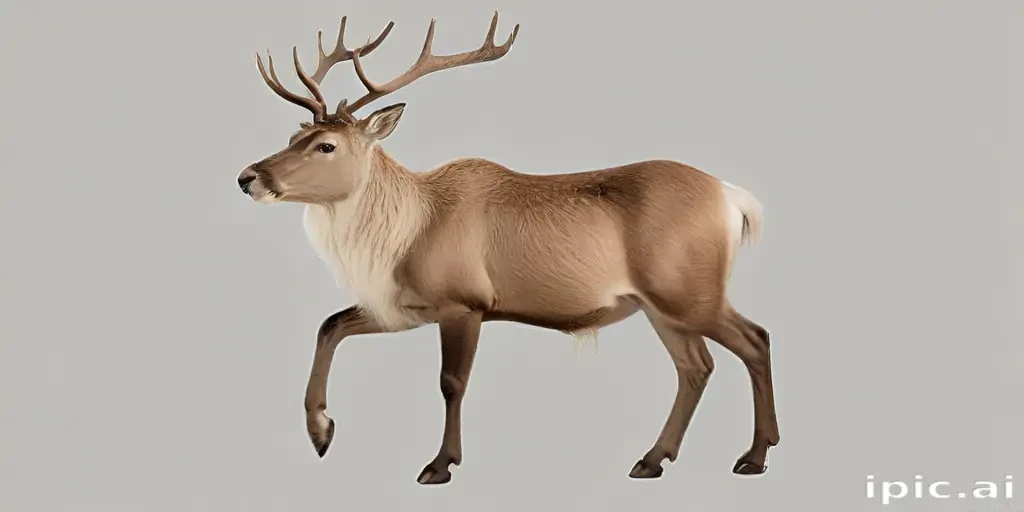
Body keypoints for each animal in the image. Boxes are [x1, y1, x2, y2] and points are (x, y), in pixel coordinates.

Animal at [236, 11, 780, 485]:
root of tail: (732, 198)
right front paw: (321, 432)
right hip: (660, 305)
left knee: (755, 339)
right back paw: (652, 459)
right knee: (696, 366)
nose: (248, 177)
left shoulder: (464, 301)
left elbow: (451, 382)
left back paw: (754, 455)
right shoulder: (406, 306)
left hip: (688, 290)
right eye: (294, 134)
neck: (404, 234)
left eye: (326, 146)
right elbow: (330, 325)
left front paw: (440, 464)